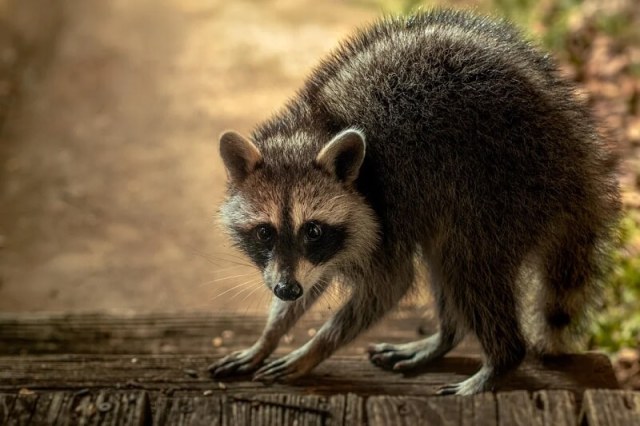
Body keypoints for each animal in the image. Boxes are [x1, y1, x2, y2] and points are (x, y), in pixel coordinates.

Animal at [208, 9, 620, 395]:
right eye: (265, 232)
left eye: (313, 230)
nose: (286, 291)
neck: (314, 128)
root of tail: (577, 159)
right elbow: (312, 277)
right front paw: (270, 335)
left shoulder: (383, 215)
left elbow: (390, 283)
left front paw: (314, 347)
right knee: (445, 258)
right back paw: (446, 338)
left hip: (504, 191)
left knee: (466, 262)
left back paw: (500, 360)